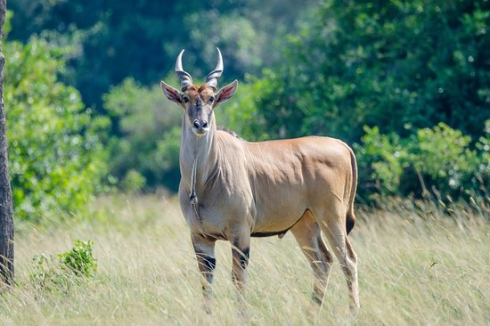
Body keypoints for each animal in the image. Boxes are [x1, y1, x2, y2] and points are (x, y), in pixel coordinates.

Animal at [161, 48, 360, 314]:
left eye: (211, 98)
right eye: (185, 98)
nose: (200, 124)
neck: (203, 182)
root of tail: (342, 145)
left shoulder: (240, 233)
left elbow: (238, 277)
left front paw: (242, 315)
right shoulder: (200, 238)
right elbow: (206, 281)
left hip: (332, 217)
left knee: (347, 260)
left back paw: (353, 312)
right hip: (305, 225)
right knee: (322, 262)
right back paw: (311, 313)